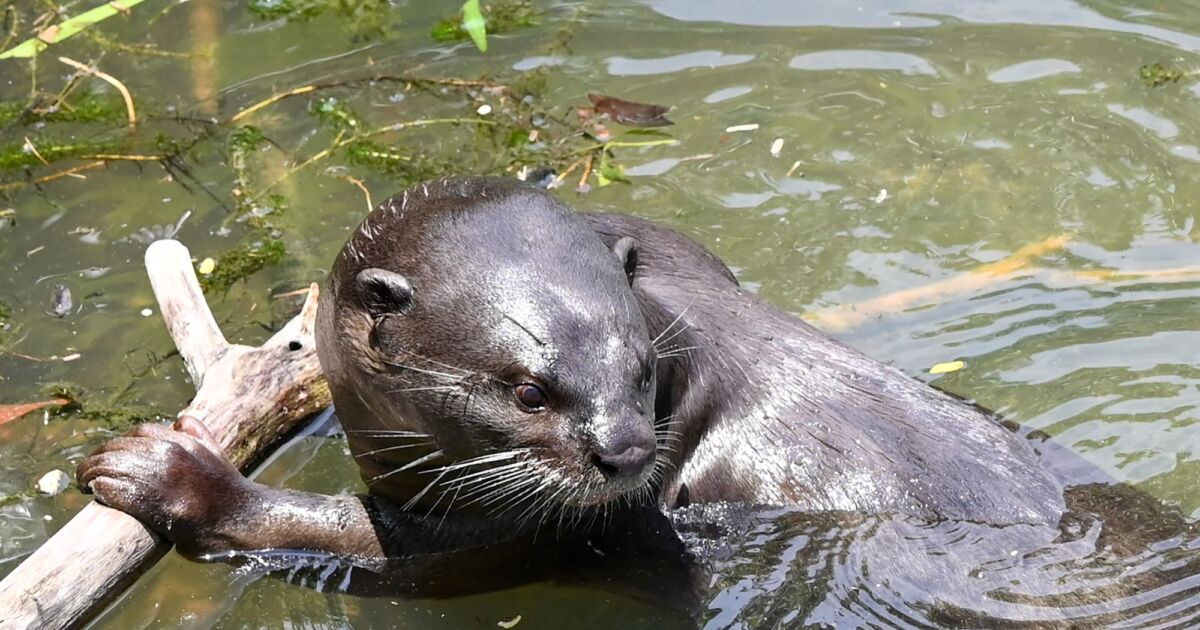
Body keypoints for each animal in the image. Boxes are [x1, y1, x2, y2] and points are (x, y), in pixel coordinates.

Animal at [77, 176, 1065, 579]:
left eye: (641, 368)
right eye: (527, 390)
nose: (626, 454)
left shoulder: (514, 527)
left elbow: (381, 546)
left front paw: (166, 474)